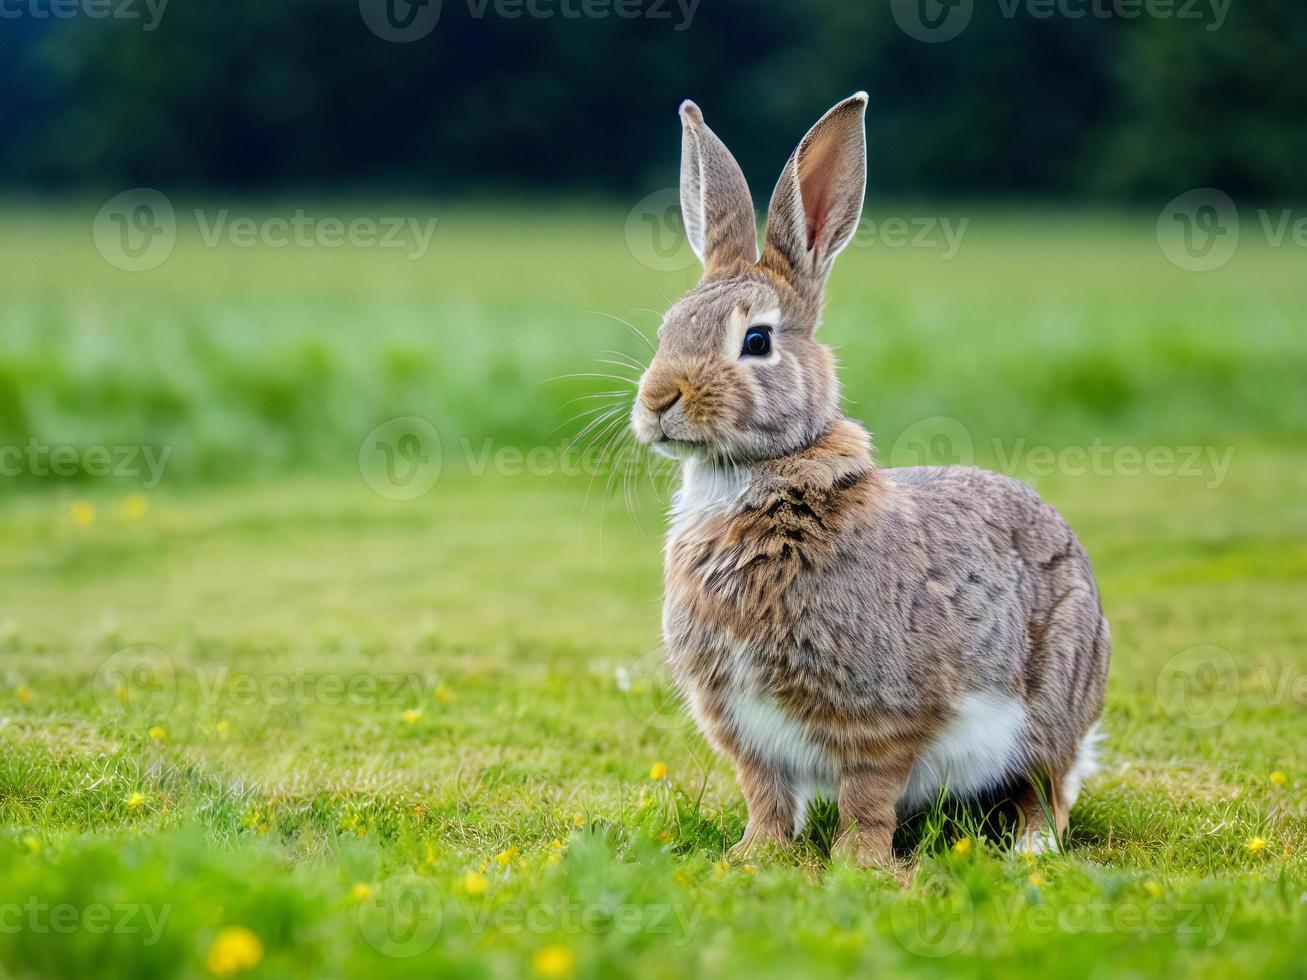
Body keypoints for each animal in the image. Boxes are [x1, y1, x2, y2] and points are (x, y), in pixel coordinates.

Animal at [629, 94, 1111, 869]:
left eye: (756, 341)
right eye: (670, 325)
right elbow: (765, 796)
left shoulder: (881, 713)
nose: (657, 401)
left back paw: (1030, 850)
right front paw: (751, 857)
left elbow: (866, 797)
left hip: (1054, 701)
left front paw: (860, 865)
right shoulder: (743, 725)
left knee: (1049, 787)